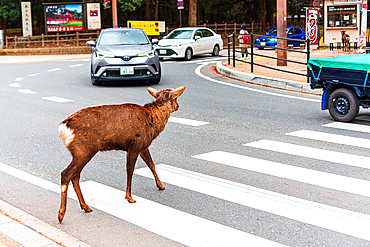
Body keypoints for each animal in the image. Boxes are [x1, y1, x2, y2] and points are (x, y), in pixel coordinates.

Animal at [56, 86, 186, 223]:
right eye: (175, 98)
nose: (178, 106)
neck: (153, 124)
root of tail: (63, 127)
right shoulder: (136, 144)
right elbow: (130, 170)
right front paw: (129, 197)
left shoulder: (143, 146)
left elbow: (152, 164)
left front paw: (160, 185)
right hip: (84, 149)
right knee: (66, 173)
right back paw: (61, 213)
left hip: (81, 152)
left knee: (75, 176)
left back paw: (85, 207)